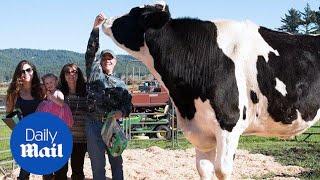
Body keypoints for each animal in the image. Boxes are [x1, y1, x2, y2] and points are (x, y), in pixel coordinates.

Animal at [102, 1, 320, 180]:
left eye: (134, 12)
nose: (104, 18)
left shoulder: (229, 124)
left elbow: (222, 170)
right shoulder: (202, 131)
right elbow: (204, 169)